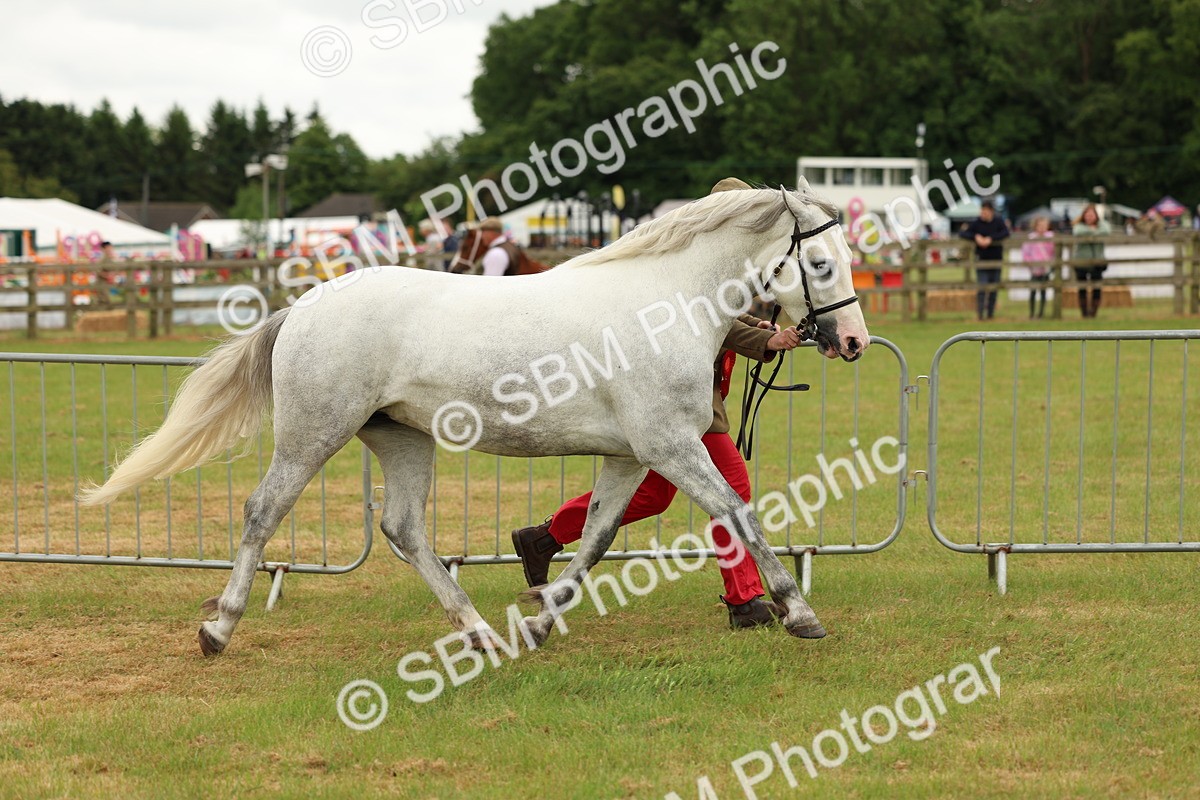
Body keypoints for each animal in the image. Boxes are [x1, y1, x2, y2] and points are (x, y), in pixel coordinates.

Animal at [79, 180, 869, 657]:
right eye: (821, 264)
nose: (855, 342)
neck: (663, 304)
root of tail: (303, 306)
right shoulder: (672, 446)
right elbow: (738, 512)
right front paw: (799, 613)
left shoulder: (630, 455)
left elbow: (596, 538)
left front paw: (542, 620)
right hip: (312, 436)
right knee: (261, 512)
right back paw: (218, 627)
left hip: (402, 440)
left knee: (403, 530)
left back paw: (483, 632)